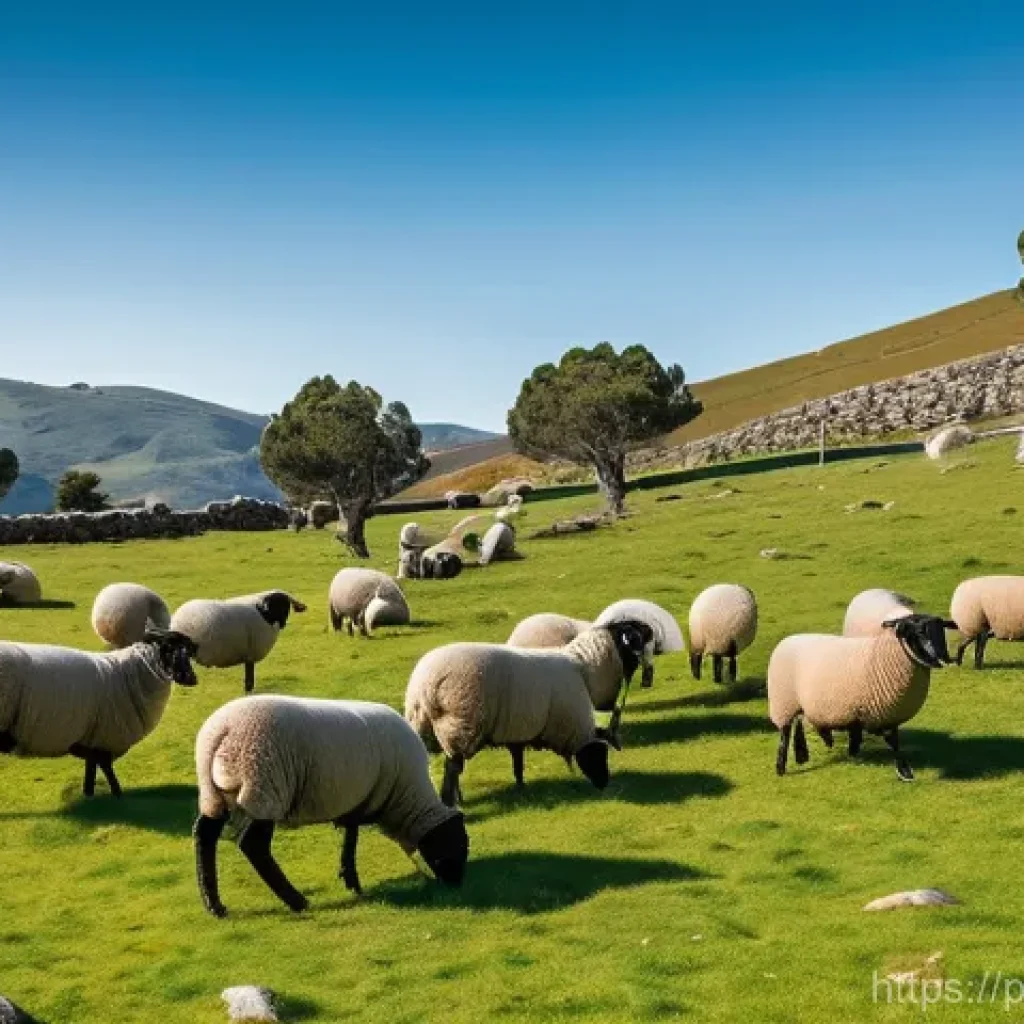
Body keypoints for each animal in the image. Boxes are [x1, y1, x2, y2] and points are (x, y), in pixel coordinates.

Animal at [0, 625, 199, 796]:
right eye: (168, 648)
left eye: (188, 652)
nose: (190, 678)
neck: (130, 673)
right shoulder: (105, 736)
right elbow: (106, 769)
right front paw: (117, 795)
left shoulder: (94, 738)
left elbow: (92, 771)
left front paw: (89, 795)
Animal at [170, 591, 307, 693]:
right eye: (276, 605)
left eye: (286, 606)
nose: (283, 624)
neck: (265, 615)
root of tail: (175, 620)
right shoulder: (250, 654)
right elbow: (249, 681)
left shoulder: (248, 655)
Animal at [193, 695, 469, 917]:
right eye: (453, 845)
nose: (457, 885)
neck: (406, 797)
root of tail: (219, 733)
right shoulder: (367, 798)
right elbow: (352, 837)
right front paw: (353, 882)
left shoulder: (358, 800)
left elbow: (350, 835)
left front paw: (349, 878)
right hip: (263, 786)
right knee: (253, 845)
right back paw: (296, 901)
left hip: (217, 793)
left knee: (204, 833)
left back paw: (214, 905)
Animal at [404, 621, 654, 803]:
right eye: (634, 640)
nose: (603, 785)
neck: (583, 667)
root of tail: (423, 686)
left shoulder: (518, 728)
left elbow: (518, 761)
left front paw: (521, 787)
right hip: (459, 724)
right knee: (452, 766)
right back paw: (451, 801)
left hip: (424, 724)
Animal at [767, 614, 955, 781]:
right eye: (917, 632)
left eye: (940, 631)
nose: (938, 657)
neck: (887, 654)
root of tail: (787, 639)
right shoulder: (883, 712)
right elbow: (893, 741)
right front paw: (904, 771)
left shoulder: (885, 713)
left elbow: (887, 738)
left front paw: (855, 751)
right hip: (783, 702)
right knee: (785, 732)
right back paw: (780, 767)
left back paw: (820, 744)